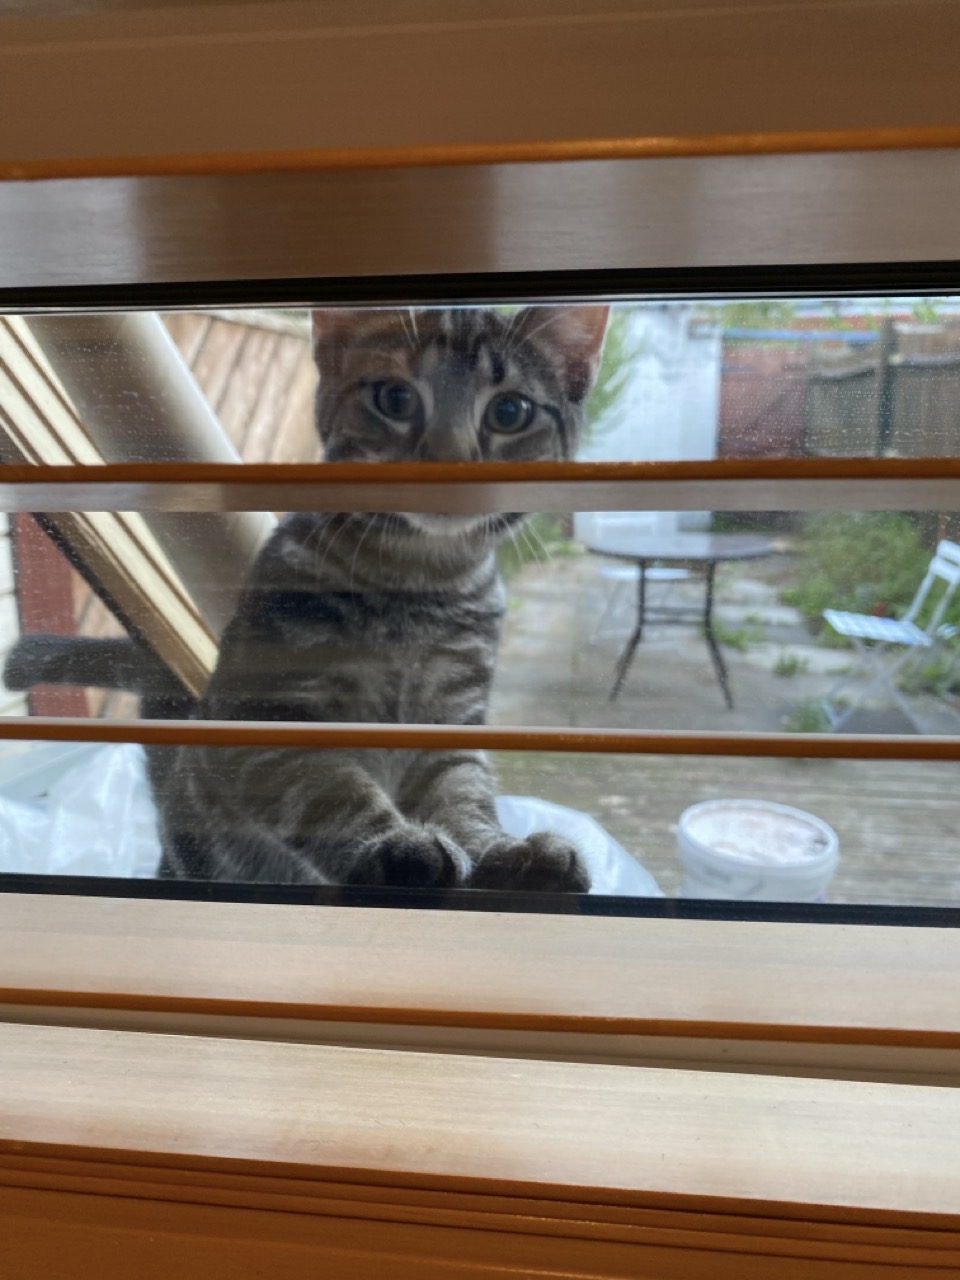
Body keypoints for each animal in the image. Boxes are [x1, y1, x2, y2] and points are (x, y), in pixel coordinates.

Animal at [154, 305, 601, 890]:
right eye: (395, 399)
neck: (418, 583)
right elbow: (328, 788)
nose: (450, 460)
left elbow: (464, 795)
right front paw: (395, 844)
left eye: (510, 411)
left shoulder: (452, 721)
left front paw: (503, 849)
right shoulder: (268, 711)